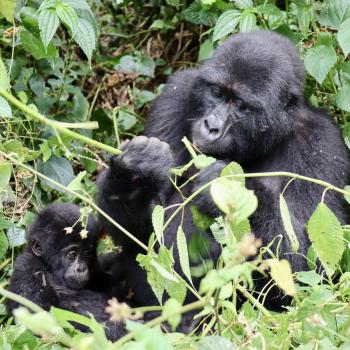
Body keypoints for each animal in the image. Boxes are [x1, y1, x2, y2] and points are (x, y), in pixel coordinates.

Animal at [96, 31, 350, 308]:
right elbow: (141, 232)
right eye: (216, 93)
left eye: (240, 104)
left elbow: (311, 271)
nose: (211, 126)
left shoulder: (322, 145)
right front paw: (134, 175)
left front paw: (226, 186)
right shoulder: (176, 95)